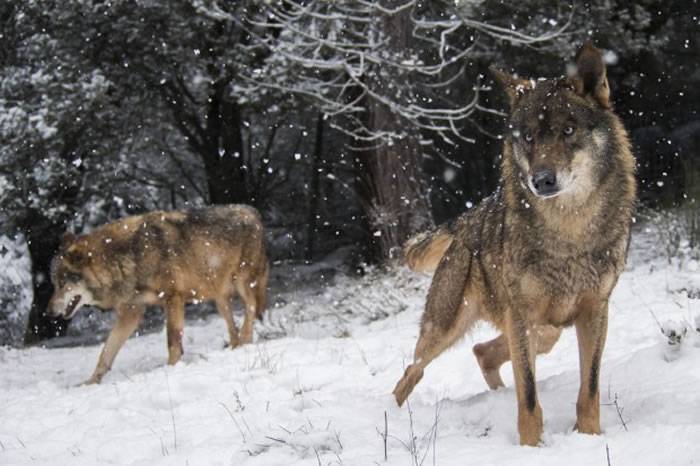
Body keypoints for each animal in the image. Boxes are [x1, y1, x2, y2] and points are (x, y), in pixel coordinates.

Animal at [47, 204, 268, 382]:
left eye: (62, 284)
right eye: (54, 284)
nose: (48, 312)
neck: (128, 257)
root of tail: (253, 211)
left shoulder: (173, 299)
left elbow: (172, 341)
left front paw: (171, 369)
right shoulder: (131, 313)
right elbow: (106, 352)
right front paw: (90, 383)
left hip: (241, 282)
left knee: (251, 307)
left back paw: (246, 340)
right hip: (219, 298)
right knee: (233, 326)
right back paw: (236, 347)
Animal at [392, 44, 636, 448]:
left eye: (568, 130)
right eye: (528, 138)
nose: (542, 180)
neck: (568, 231)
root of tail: (465, 221)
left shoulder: (595, 310)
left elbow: (589, 390)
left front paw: (589, 439)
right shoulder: (522, 315)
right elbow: (530, 398)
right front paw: (531, 448)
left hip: (539, 329)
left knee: (483, 352)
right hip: (446, 329)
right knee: (410, 372)